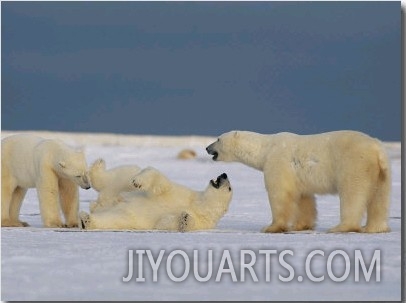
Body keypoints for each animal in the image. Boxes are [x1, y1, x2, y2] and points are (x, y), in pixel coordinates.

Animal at [80, 167, 232, 232]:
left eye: (230, 188)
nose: (224, 174)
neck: (199, 206)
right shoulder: (183, 194)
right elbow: (164, 185)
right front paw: (138, 181)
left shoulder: (204, 222)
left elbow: (167, 223)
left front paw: (184, 218)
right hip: (121, 189)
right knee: (121, 176)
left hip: (123, 215)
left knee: (109, 219)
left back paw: (86, 220)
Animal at [208, 131, 392, 235]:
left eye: (218, 139)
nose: (207, 148)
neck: (265, 148)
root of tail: (377, 150)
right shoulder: (298, 177)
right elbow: (304, 199)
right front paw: (301, 225)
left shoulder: (277, 161)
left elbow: (280, 194)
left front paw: (271, 227)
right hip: (381, 173)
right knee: (379, 198)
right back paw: (375, 228)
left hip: (354, 164)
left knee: (352, 194)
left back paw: (341, 227)